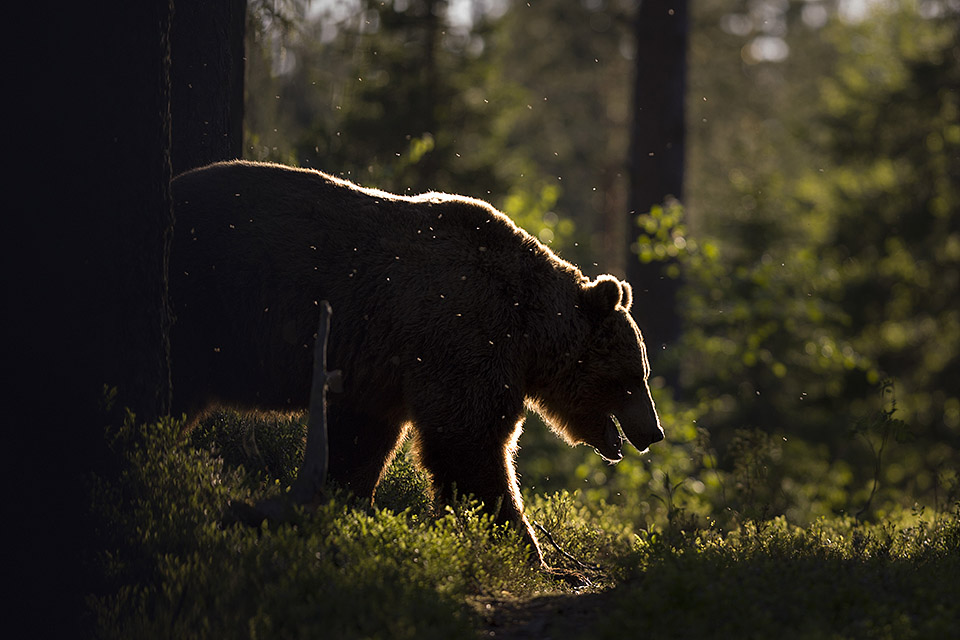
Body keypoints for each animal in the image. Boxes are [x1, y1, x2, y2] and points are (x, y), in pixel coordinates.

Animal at [169, 162, 664, 568]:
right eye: (632, 378)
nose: (654, 431)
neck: (526, 330)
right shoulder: (458, 333)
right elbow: (470, 442)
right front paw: (526, 548)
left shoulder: (378, 370)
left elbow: (361, 441)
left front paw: (346, 504)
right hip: (206, 302)